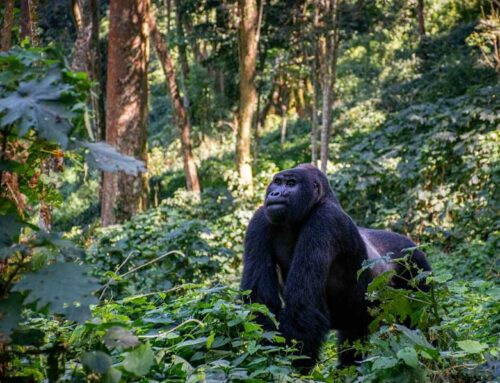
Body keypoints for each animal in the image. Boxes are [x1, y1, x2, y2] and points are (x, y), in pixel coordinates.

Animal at [240, 164, 428, 370]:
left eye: (290, 183)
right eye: (277, 182)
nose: (274, 193)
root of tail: (412, 244)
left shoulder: (325, 220)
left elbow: (302, 304)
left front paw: (291, 368)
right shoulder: (260, 219)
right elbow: (259, 300)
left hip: (417, 266)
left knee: (422, 323)